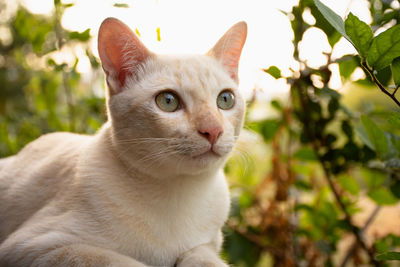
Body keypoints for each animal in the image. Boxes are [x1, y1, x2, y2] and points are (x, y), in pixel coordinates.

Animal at [0, 17, 247, 267]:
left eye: (225, 99)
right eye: (168, 101)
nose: (213, 130)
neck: (182, 193)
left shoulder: (207, 245)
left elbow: (204, 258)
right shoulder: (34, 246)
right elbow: (120, 261)